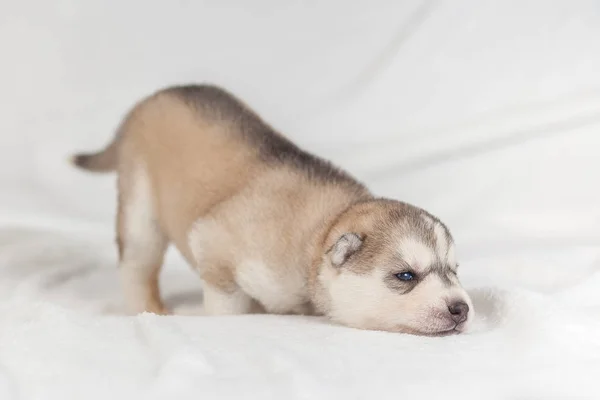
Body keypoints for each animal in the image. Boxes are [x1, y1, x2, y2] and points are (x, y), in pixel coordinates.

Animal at [71, 86, 474, 336]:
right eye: (405, 275)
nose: (461, 308)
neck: (320, 235)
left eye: (454, 271)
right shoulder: (215, 245)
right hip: (141, 205)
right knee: (136, 264)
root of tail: (149, 100)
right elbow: (227, 303)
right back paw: (151, 308)